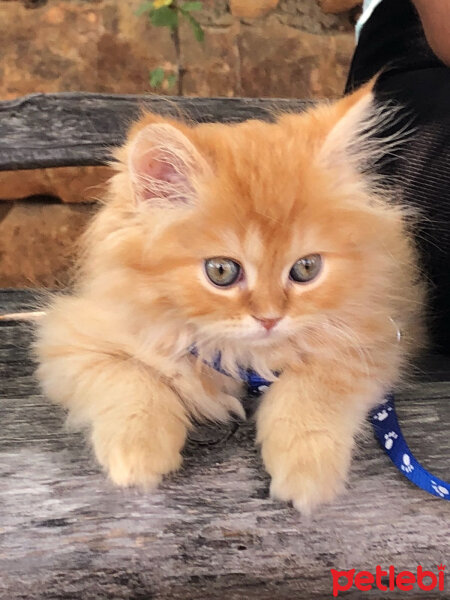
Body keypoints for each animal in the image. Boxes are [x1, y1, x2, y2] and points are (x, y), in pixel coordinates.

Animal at [35, 85, 426, 516]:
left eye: (306, 268)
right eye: (221, 271)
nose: (270, 318)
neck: (240, 357)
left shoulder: (374, 336)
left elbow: (309, 390)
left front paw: (306, 472)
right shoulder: (71, 339)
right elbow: (131, 381)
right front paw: (138, 456)